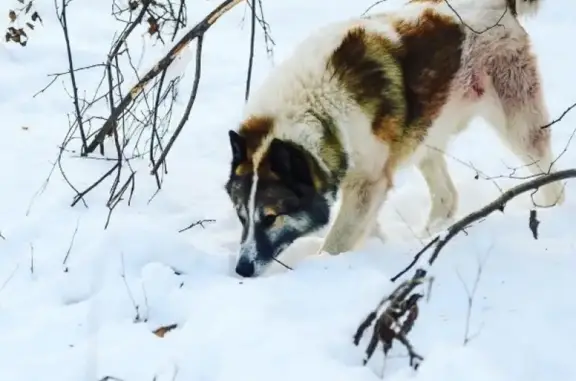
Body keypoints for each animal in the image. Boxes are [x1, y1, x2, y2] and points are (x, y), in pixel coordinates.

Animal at [223, 0, 564, 276]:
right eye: (242, 217)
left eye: (270, 217)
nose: (242, 270)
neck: (317, 107)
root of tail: (499, 5)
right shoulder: (364, 182)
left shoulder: (367, 182)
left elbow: (336, 243)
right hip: (426, 131)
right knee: (447, 196)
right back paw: (431, 236)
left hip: (517, 124)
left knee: (549, 176)